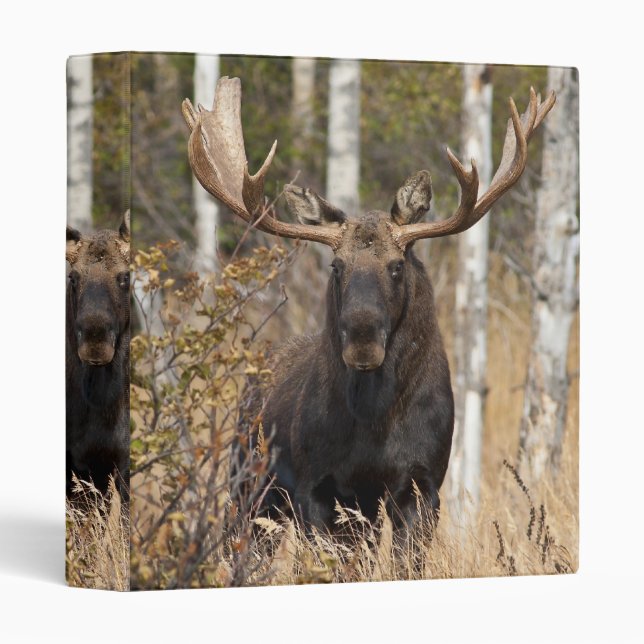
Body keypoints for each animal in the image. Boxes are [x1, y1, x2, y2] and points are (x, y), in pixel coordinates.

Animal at [182, 76, 555, 531]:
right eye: (336, 265)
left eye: (397, 265)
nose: (362, 341)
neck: (375, 425)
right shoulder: (317, 487)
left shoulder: (423, 484)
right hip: (248, 489)